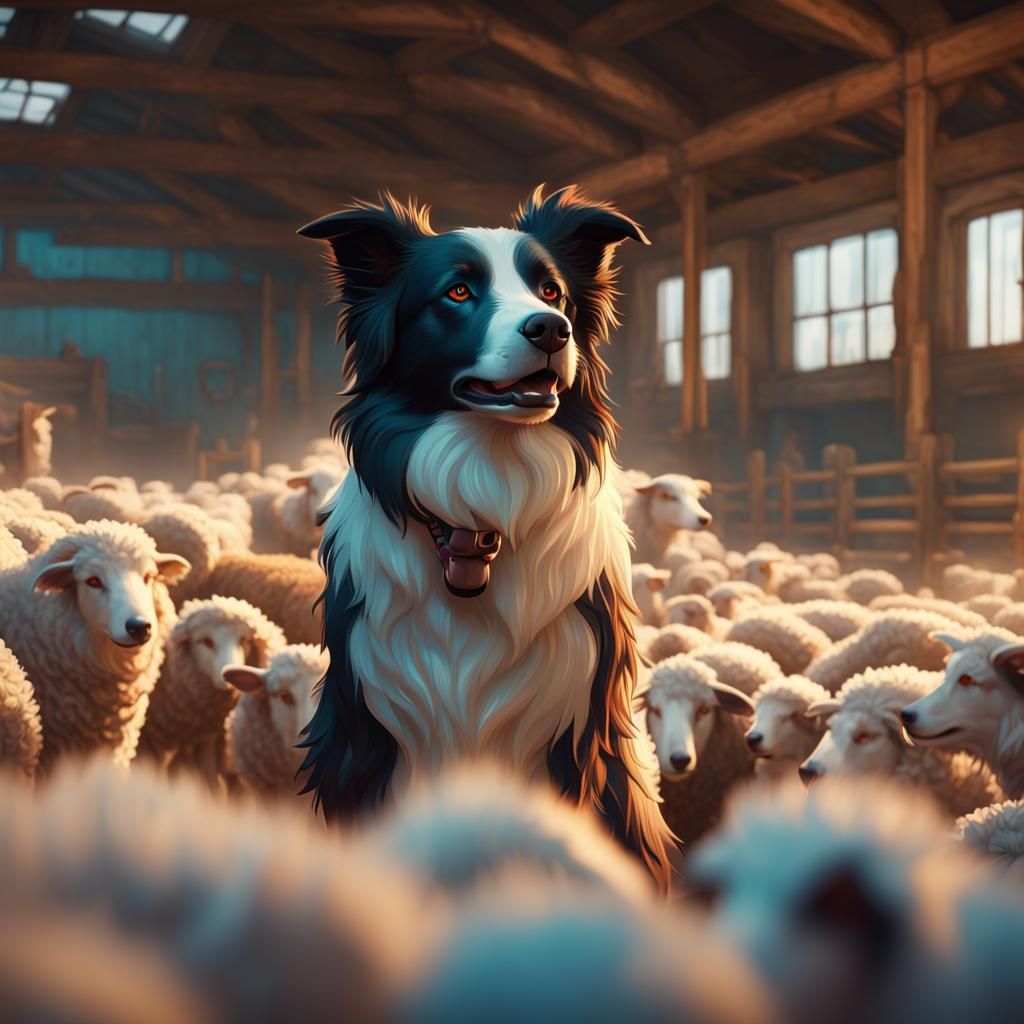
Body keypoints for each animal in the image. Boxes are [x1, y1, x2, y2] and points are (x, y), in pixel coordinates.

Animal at [138, 596, 286, 786]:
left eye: (243, 640)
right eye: (206, 641)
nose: (228, 675)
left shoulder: (204, 741)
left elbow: (209, 780)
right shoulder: (151, 741)